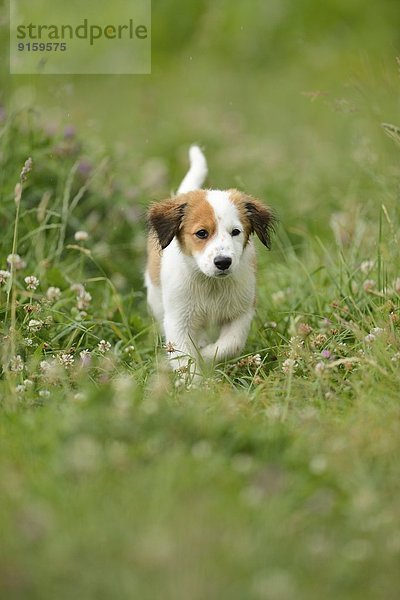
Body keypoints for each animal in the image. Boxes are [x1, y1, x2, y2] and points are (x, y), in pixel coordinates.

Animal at [145, 145, 274, 372]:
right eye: (202, 233)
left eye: (235, 232)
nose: (223, 262)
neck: (211, 285)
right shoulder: (178, 320)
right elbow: (184, 359)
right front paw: (193, 378)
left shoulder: (241, 312)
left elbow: (230, 345)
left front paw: (205, 357)